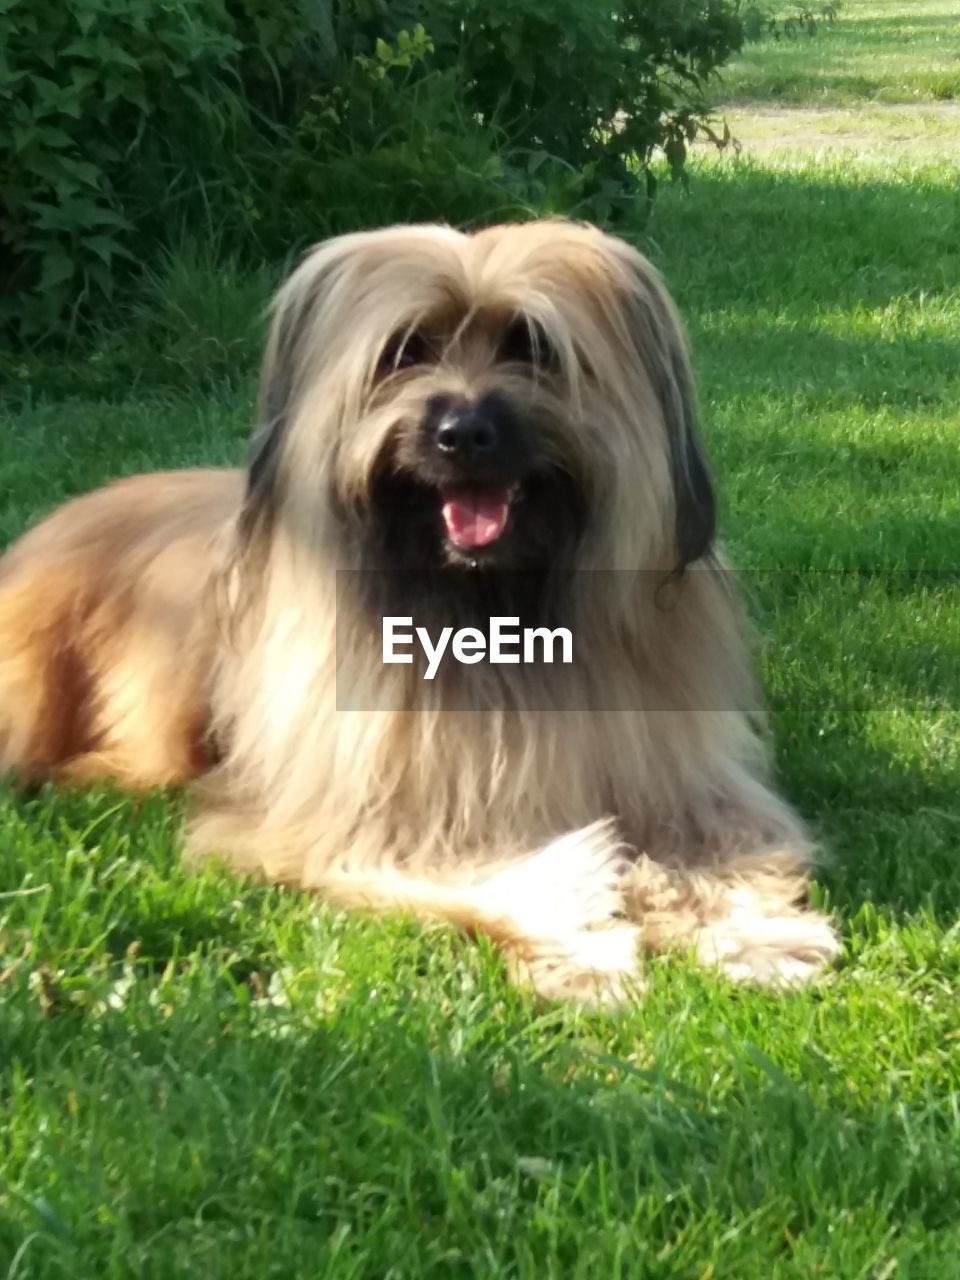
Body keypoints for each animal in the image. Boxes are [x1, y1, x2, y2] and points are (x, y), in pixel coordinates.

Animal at [0, 220, 839, 998]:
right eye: (406, 350)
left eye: (532, 345)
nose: (462, 433)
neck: (491, 614)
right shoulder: (363, 819)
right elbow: (493, 871)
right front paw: (577, 948)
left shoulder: (690, 789)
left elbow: (718, 856)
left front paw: (752, 937)